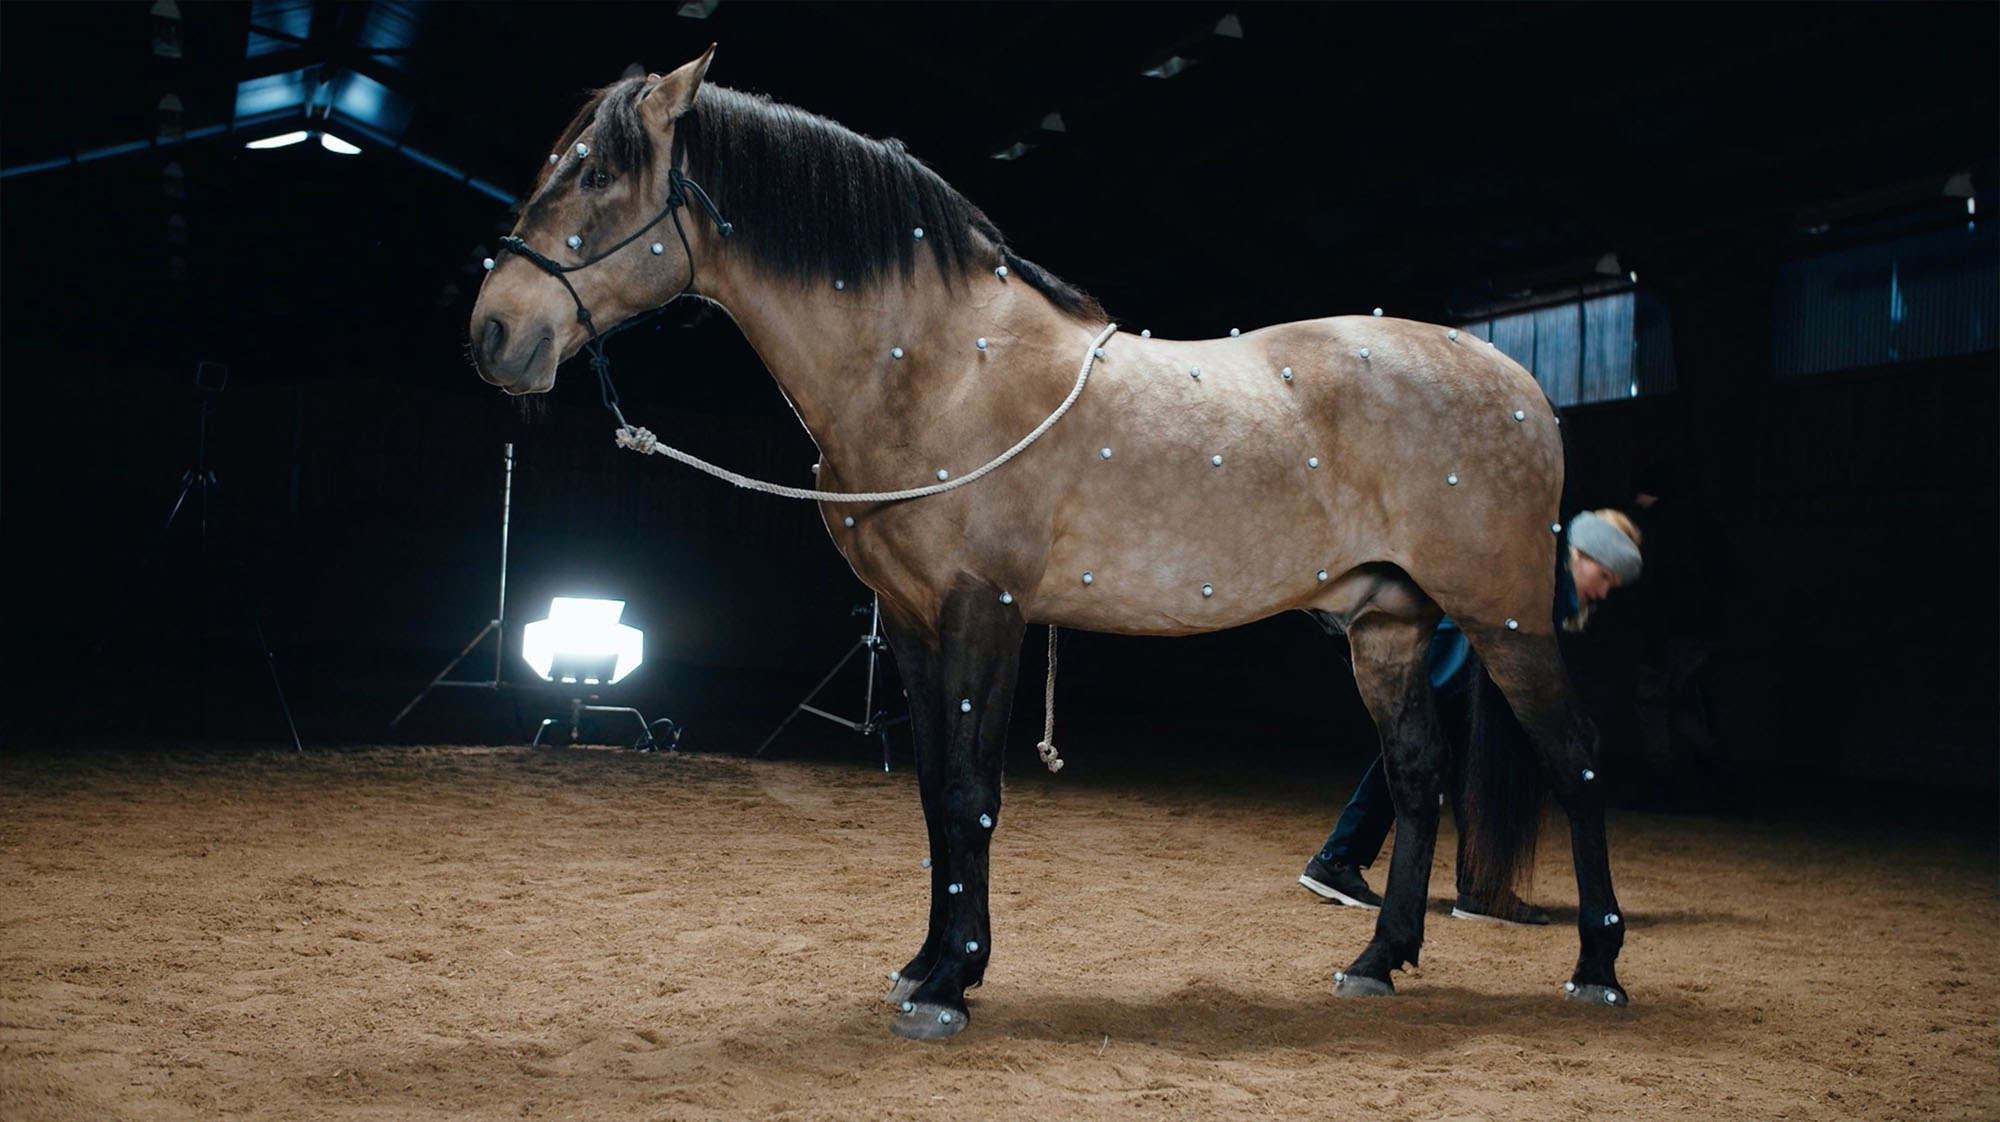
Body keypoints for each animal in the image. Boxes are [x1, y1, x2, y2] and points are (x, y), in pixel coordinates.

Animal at [468, 46, 1624, 1040]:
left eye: (596, 174)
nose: (495, 334)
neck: (939, 368)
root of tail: (1519, 382)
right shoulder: (913, 619)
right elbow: (933, 794)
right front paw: (925, 963)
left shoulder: (988, 609)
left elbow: (972, 794)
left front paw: (952, 983)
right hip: (1386, 625)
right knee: (1419, 775)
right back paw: (1377, 961)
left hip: (1502, 620)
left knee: (1576, 763)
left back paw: (1596, 969)